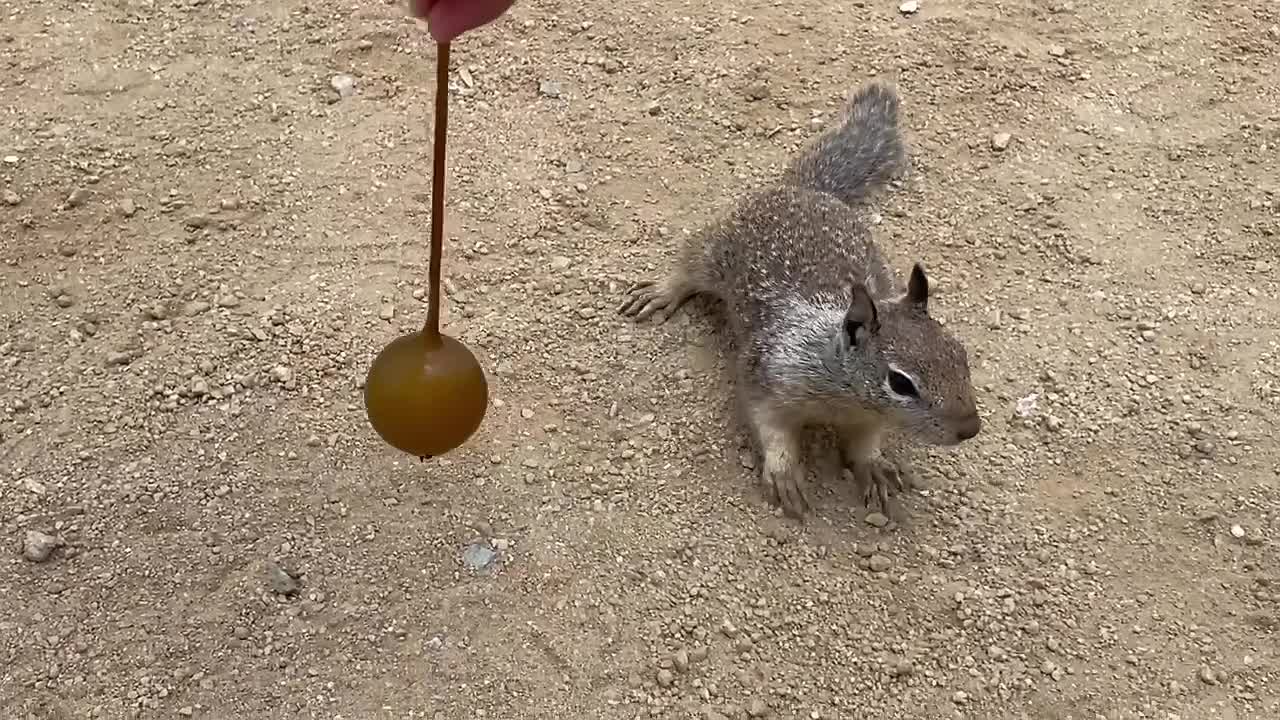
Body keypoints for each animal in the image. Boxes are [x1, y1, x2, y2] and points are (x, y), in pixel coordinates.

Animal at [619, 80, 982, 519]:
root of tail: (805, 189)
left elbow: (864, 444)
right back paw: (661, 292)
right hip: (715, 250)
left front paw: (872, 466)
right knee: (688, 264)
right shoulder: (768, 376)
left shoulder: (868, 418)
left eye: (961, 354)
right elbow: (770, 428)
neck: (845, 394)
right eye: (900, 383)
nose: (970, 429)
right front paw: (784, 473)